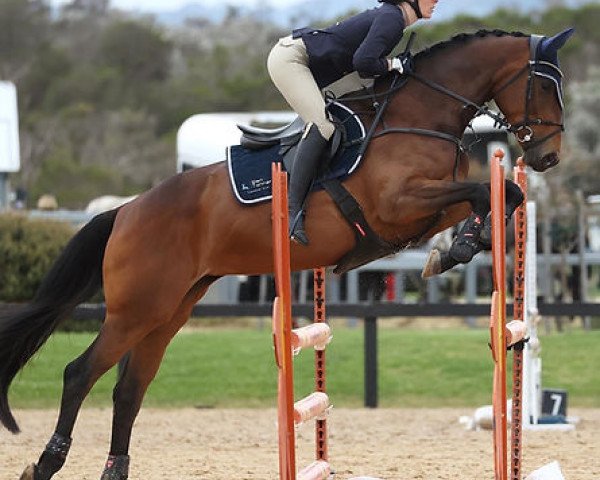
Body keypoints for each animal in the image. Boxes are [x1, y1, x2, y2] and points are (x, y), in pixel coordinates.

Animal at [0, 28, 572, 478]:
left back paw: (113, 470)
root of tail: (125, 211)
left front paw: (456, 250)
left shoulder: (423, 208)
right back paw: (45, 463)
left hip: (168, 311)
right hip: (135, 310)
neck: (419, 113)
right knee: (80, 374)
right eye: (546, 85)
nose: (549, 156)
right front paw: (459, 249)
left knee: (129, 390)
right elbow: (487, 192)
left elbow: (498, 196)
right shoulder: (399, 204)